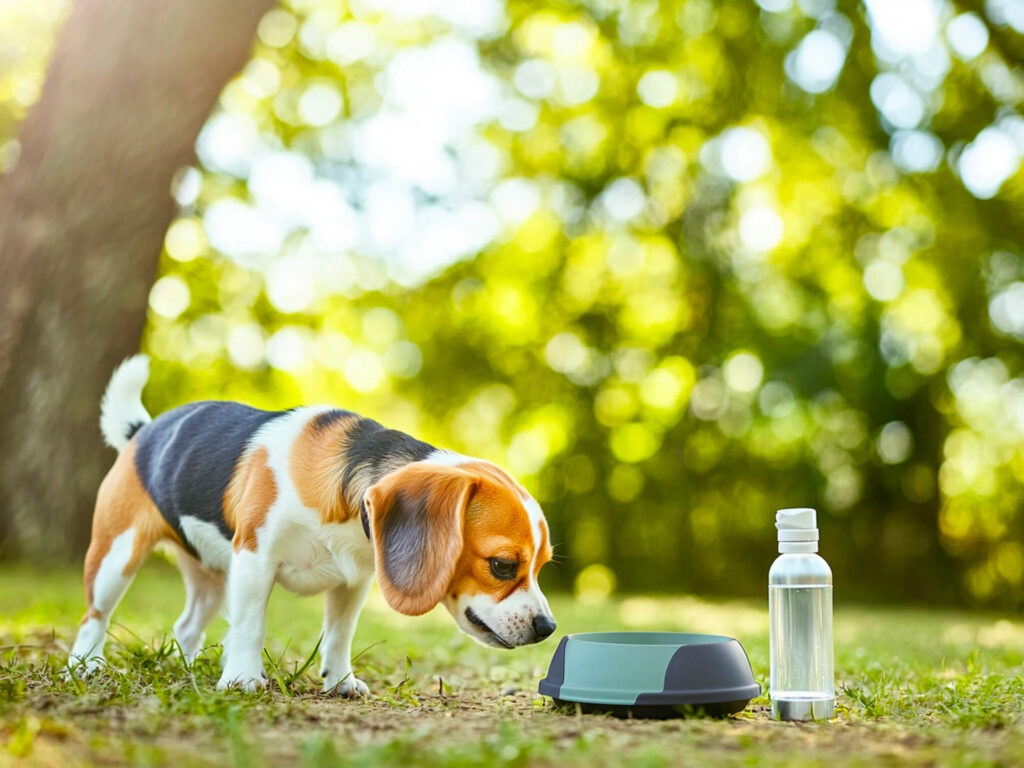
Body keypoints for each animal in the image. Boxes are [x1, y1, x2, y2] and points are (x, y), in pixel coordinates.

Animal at [69, 358, 557, 696]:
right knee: (94, 617)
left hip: (211, 576)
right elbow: (250, 624)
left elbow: (340, 635)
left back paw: (190, 669)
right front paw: (242, 678)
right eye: (501, 565)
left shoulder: (354, 579)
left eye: (541, 567)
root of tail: (143, 430)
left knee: (187, 626)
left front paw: (340, 681)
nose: (548, 628)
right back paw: (87, 666)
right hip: (116, 556)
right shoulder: (254, 561)